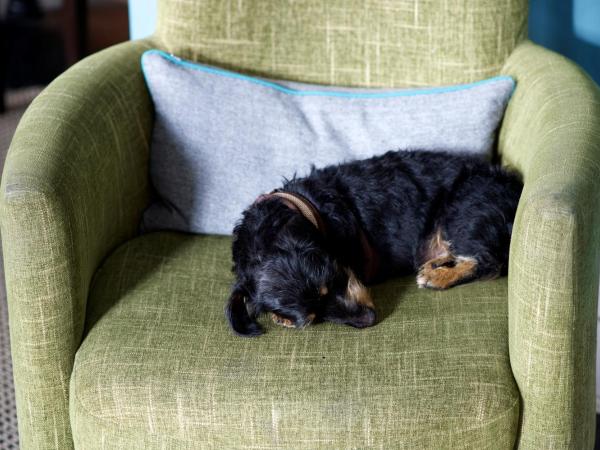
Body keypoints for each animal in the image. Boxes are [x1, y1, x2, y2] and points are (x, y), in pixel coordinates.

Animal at [224, 149, 520, 336]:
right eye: (313, 318)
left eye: (335, 278)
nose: (369, 320)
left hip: (466, 209)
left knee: (489, 263)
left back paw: (439, 276)